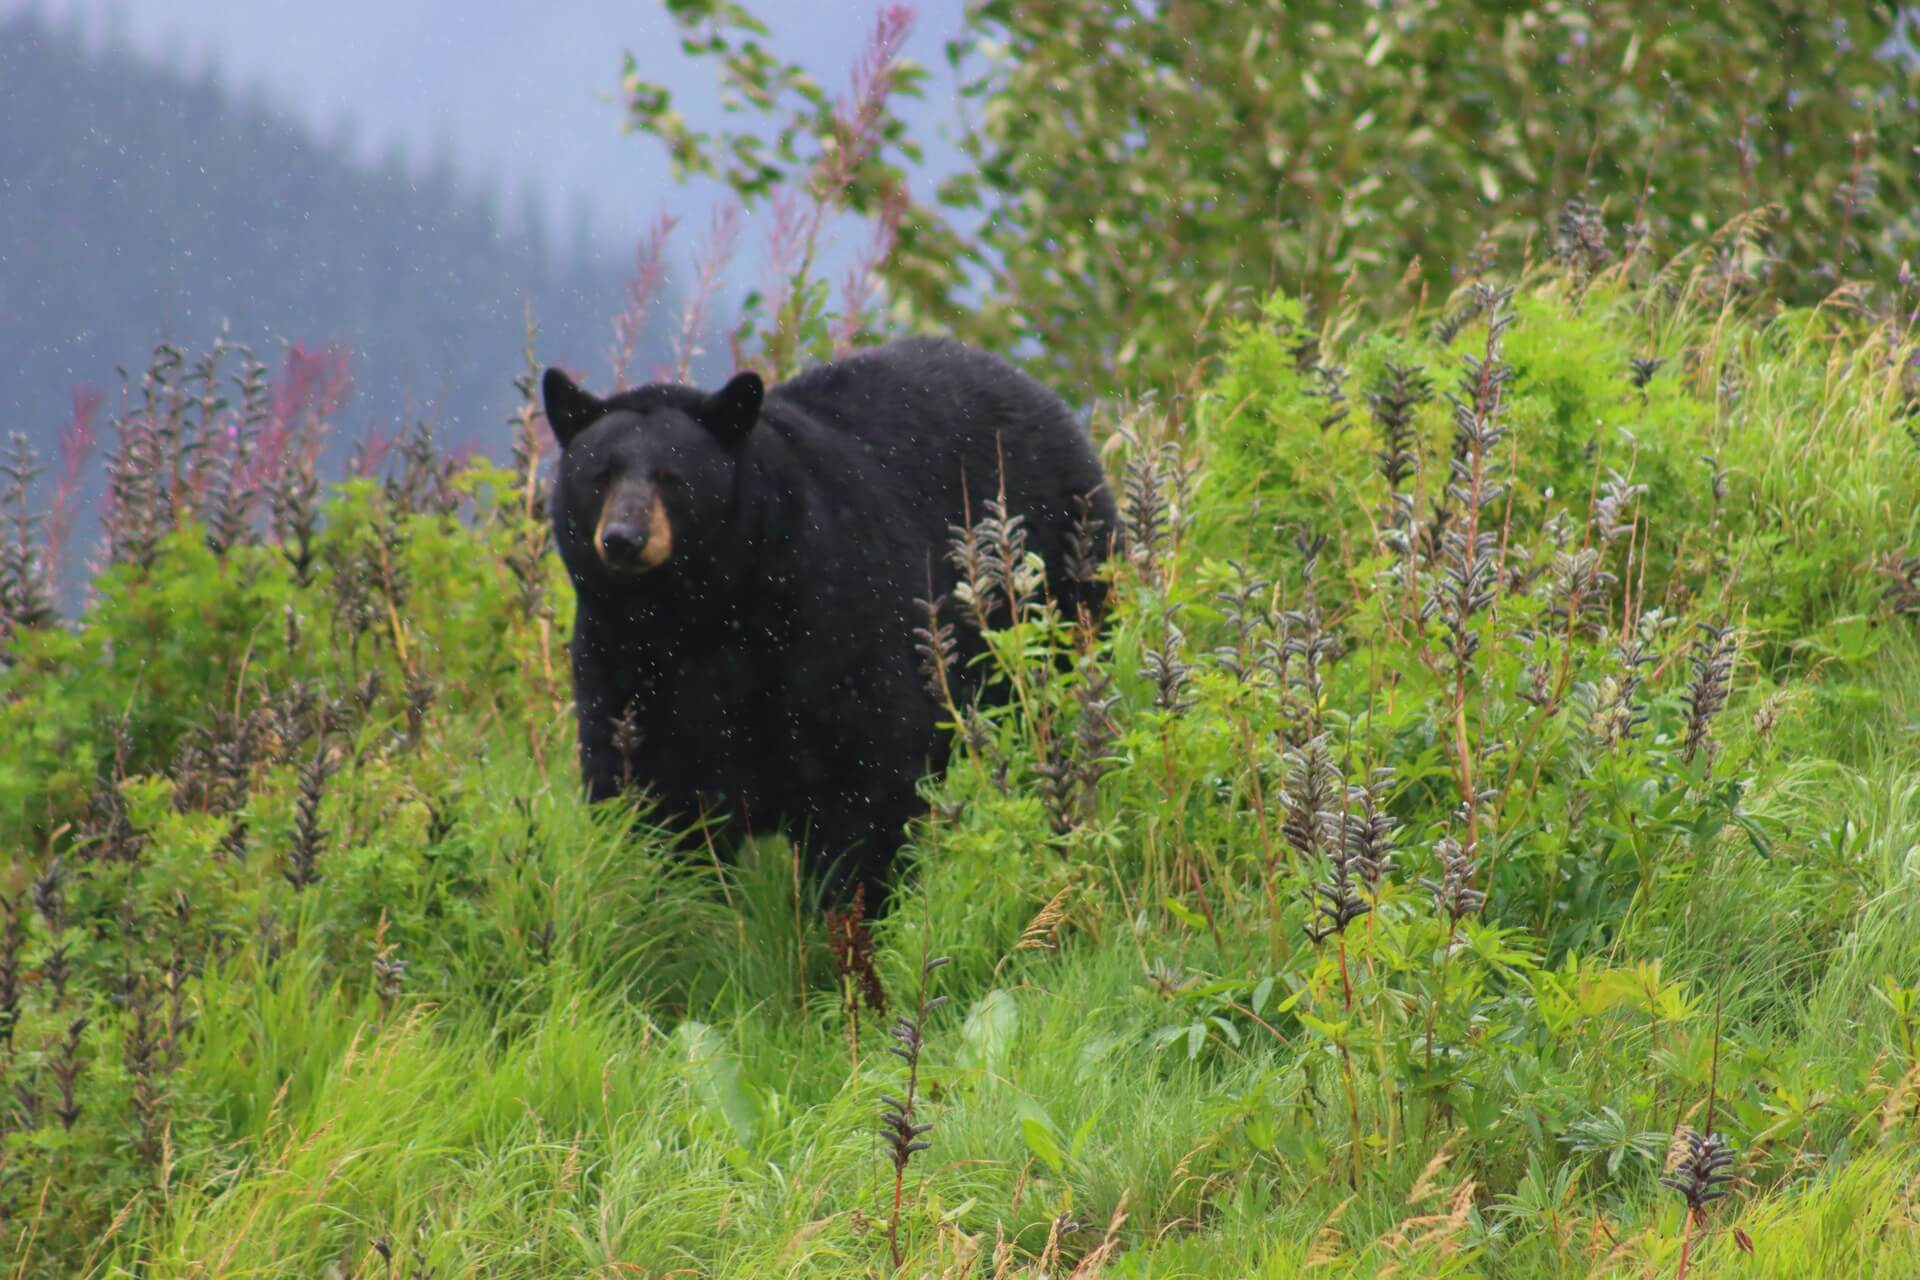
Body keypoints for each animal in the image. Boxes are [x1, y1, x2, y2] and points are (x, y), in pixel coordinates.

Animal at [541, 335, 1118, 909]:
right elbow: (644, 793)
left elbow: (868, 783)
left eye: (672, 477)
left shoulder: (831, 622)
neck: (700, 618)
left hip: (1060, 585)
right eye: (600, 475)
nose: (623, 538)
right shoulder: (618, 661)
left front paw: (853, 913)